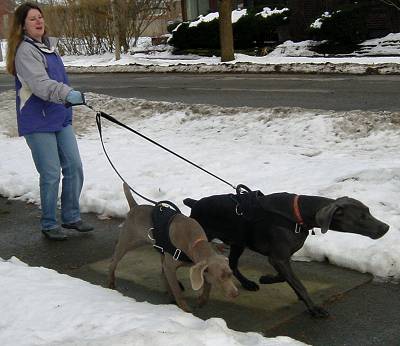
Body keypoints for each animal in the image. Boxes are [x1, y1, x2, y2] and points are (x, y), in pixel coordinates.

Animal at [108, 182, 239, 312]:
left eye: (230, 274)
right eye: (220, 278)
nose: (235, 294)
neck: (195, 243)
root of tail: (134, 207)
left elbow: (206, 284)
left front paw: (202, 300)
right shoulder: (170, 266)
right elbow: (177, 291)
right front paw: (185, 309)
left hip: (160, 251)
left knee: (163, 274)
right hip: (128, 241)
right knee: (113, 261)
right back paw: (111, 283)